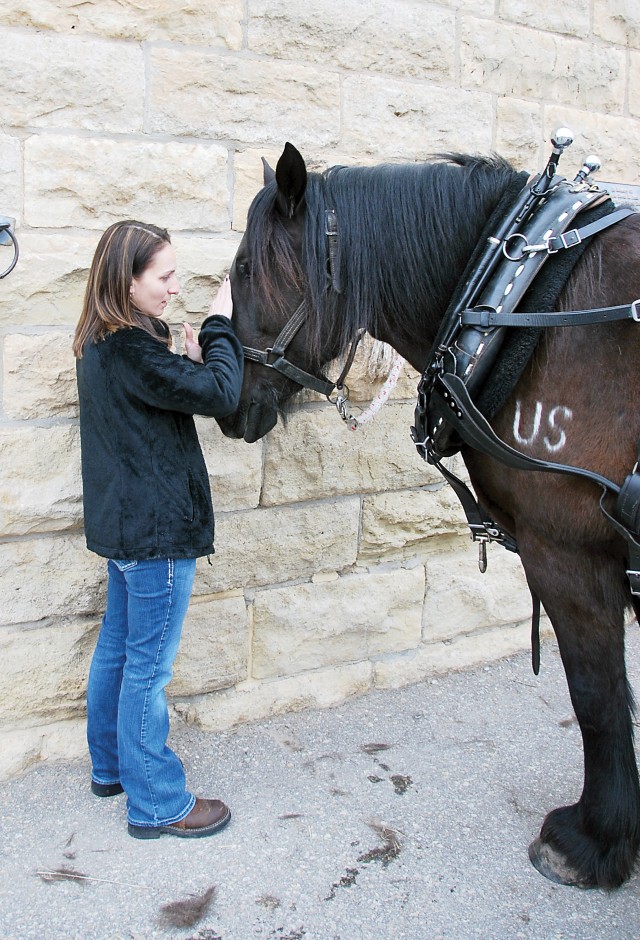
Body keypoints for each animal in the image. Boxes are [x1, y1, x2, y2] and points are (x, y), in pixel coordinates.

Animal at [219, 141, 640, 888]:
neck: (516, 297)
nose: (230, 402)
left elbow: (597, 694)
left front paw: (594, 840)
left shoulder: (569, 552)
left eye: (244, 268)